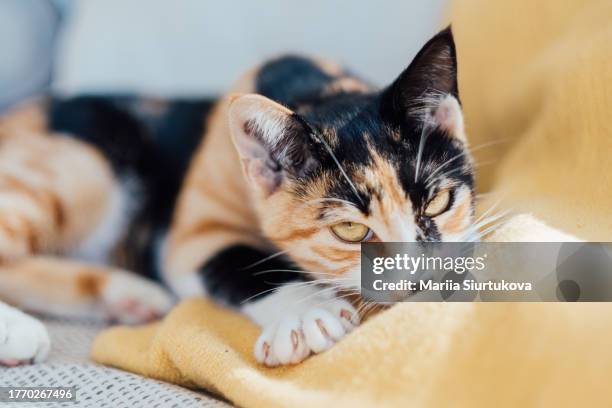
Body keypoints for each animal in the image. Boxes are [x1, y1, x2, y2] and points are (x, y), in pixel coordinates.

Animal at [0, 27, 474, 366]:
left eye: (438, 203)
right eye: (350, 230)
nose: (420, 281)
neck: (318, 89)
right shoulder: (187, 235)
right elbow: (239, 261)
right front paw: (307, 315)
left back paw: (129, 295)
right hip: (86, 166)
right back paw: (18, 331)